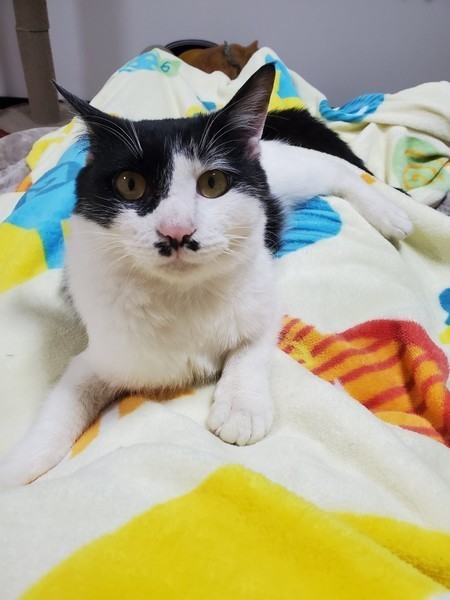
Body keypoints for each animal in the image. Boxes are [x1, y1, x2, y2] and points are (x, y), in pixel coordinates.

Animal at [0, 63, 412, 488]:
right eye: (130, 184)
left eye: (213, 183)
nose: (177, 231)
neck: (181, 296)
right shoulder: (103, 352)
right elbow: (65, 403)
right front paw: (18, 467)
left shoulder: (262, 299)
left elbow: (249, 347)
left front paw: (241, 408)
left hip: (289, 172)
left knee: (336, 169)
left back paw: (390, 211)